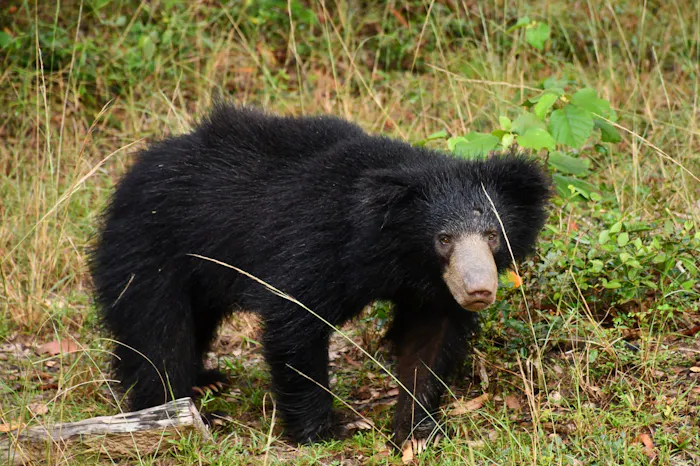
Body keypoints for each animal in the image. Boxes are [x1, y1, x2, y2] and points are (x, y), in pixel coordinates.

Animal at [90, 103, 550, 448]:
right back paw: (175, 409)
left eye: (492, 234)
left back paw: (206, 382)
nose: (478, 290)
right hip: (150, 247)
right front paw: (324, 431)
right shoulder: (318, 243)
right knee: (157, 332)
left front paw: (416, 430)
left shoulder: (432, 289)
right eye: (444, 238)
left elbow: (428, 342)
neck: (391, 249)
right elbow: (296, 320)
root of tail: (133, 172)